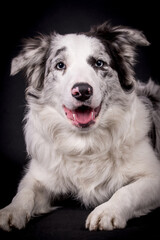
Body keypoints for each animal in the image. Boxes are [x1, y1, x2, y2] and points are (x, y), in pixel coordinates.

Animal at [0, 22, 160, 231]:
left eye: (99, 63)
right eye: (60, 65)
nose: (82, 91)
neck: (85, 143)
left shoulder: (154, 176)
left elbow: (127, 191)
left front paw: (107, 211)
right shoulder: (39, 176)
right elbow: (25, 192)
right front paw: (11, 210)